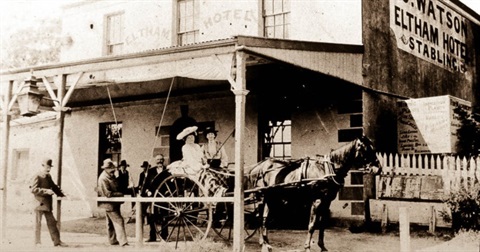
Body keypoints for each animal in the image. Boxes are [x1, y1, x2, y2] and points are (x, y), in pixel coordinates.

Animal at [246, 136, 380, 252]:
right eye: (366, 148)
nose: (378, 168)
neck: (326, 169)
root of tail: (258, 167)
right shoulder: (317, 200)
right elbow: (312, 224)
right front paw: (307, 247)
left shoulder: (327, 201)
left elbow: (322, 224)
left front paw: (322, 246)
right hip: (262, 198)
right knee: (260, 218)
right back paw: (263, 244)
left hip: (271, 198)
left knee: (264, 219)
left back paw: (265, 243)